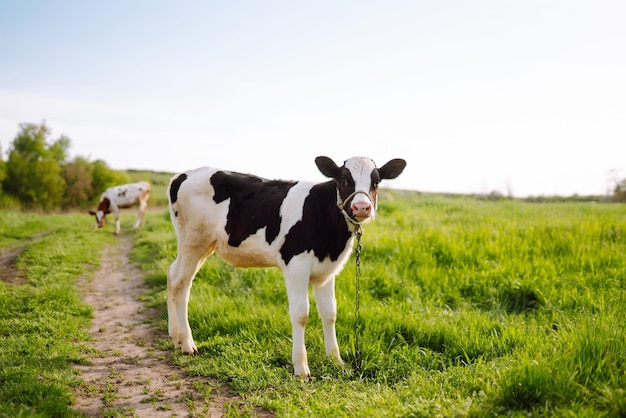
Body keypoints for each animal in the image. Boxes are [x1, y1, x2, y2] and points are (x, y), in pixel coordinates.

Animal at [166, 157, 404, 378]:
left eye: (376, 181)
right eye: (344, 180)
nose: (362, 207)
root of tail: (184, 174)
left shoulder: (327, 272)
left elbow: (330, 313)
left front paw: (336, 360)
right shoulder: (296, 266)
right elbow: (301, 314)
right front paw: (301, 368)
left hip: (202, 246)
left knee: (171, 274)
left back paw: (175, 336)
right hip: (194, 242)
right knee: (181, 284)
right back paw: (187, 343)